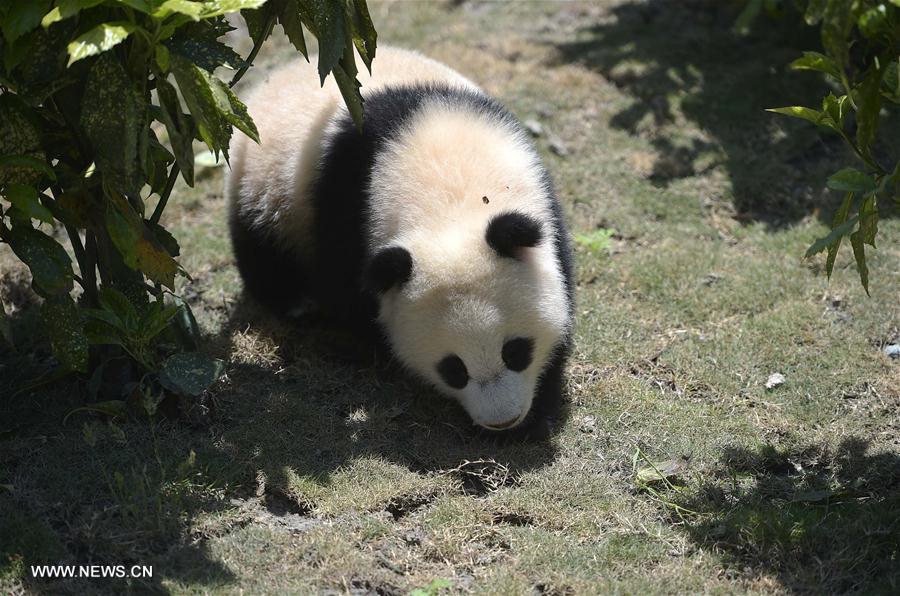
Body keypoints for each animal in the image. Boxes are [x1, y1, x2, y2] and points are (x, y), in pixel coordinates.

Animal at [229, 46, 572, 438]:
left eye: (516, 351)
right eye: (453, 369)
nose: (503, 421)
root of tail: (277, 75)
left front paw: (538, 414)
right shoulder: (346, 204)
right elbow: (346, 288)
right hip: (267, 187)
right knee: (261, 248)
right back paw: (298, 304)